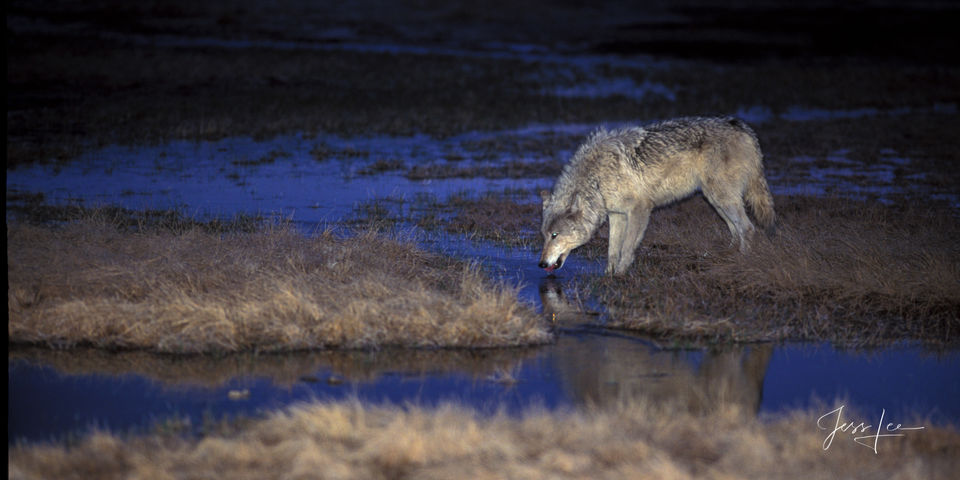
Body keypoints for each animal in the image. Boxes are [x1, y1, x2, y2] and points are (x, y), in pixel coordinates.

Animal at [536, 116, 776, 276]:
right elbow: (612, 249)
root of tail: (742, 126)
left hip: (722, 197)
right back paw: (727, 255)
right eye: (544, 235)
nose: (540, 264)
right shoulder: (616, 215)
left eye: (555, 235)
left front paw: (621, 275)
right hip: (716, 199)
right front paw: (608, 275)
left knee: (747, 228)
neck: (597, 178)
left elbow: (627, 248)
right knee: (735, 229)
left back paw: (742, 261)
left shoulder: (640, 209)